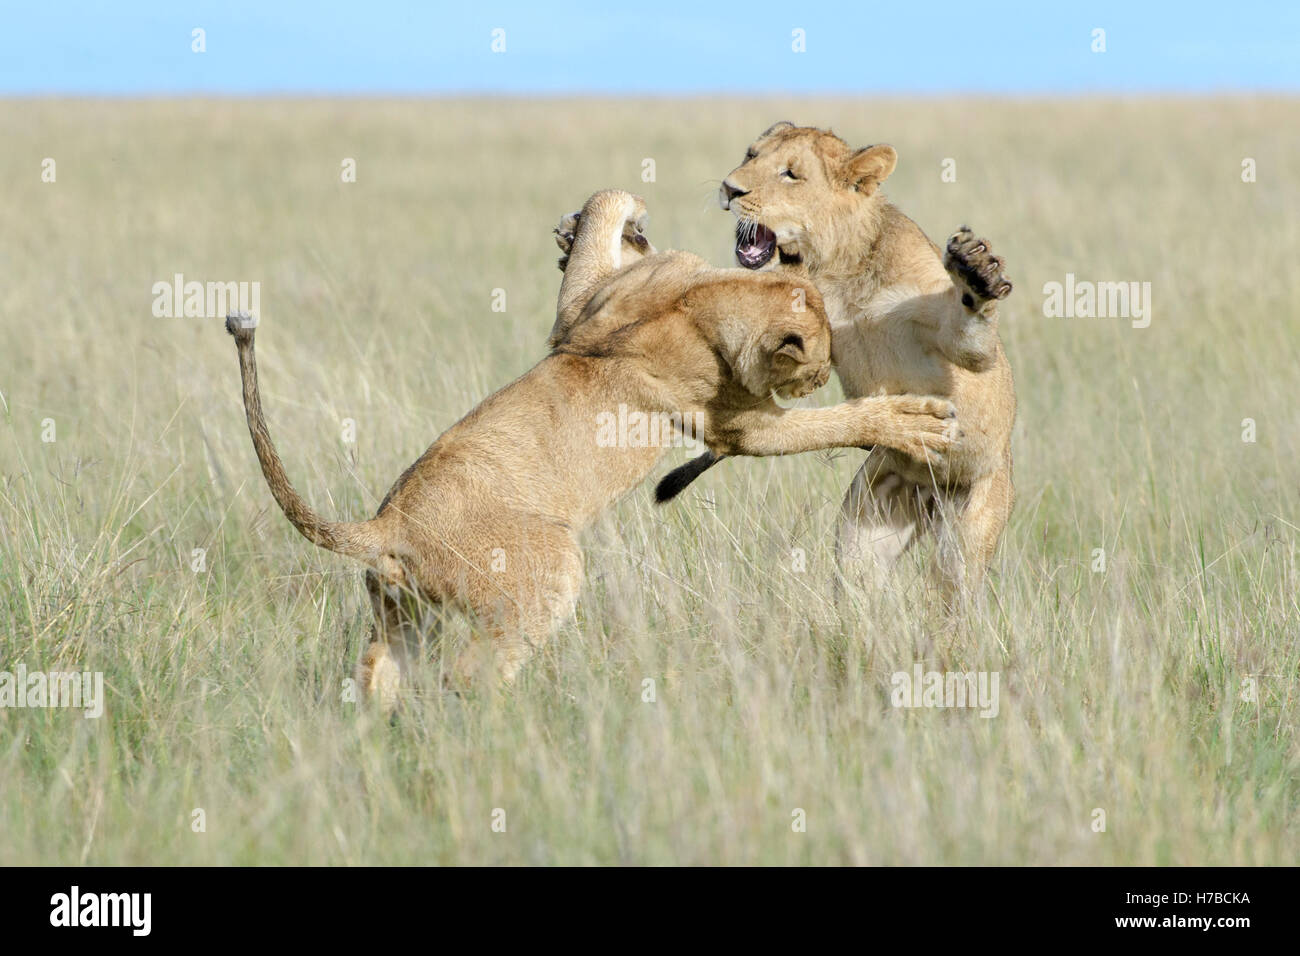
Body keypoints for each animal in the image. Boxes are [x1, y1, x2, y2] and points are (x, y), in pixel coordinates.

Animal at [226, 187, 956, 712]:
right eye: (819, 366)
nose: (816, 375)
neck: (702, 299)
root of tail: (384, 525)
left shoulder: (580, 312)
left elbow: (606, 208)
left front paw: (610, 223)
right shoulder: (738, 428)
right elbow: (832, 423)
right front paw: (915, 422)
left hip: (402, 611)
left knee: (379, 671)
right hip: (549, 567)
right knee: (469, 674)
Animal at [660, 123, 1013, 608]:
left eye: (790, 174)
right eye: (750, 155)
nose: (730, 189)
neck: (837, 271)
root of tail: (931, 493)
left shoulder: (959, 345)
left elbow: (974, 343)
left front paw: (975, 274)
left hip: (968, 530)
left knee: (950, 597)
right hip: (868, 520)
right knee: (859, 588)